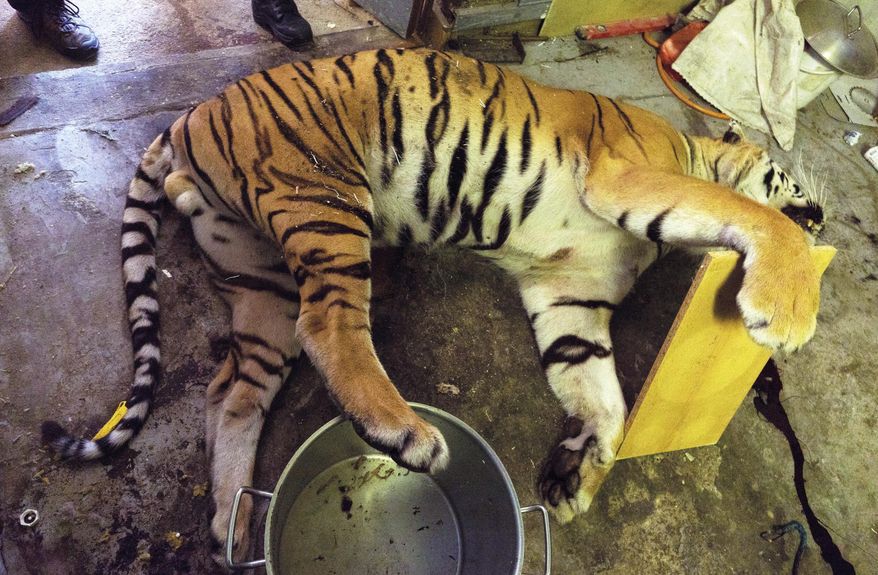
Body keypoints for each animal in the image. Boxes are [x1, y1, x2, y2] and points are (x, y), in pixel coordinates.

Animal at [40, 47, 826, 564]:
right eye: (795, 180)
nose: (821, 213)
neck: (691, 148)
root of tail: (187, 119)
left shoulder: (571, 296)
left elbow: (606, 401)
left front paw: (575, 480)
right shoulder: (627, 177)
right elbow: (747, 212)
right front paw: (787, 307)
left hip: (259, 275)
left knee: (233, 389)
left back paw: (230, 524)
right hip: (324, 197)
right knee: (330, 324)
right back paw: (408, 434)